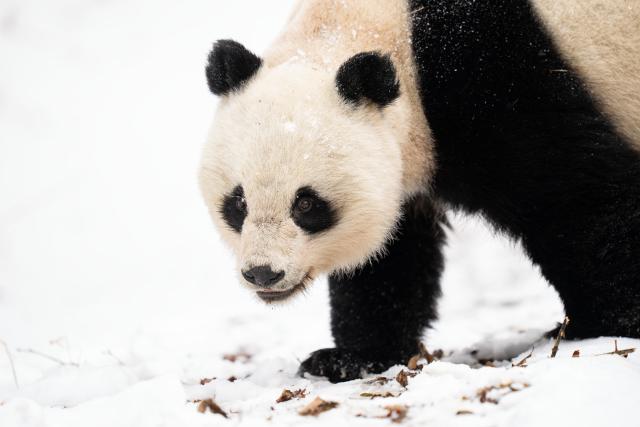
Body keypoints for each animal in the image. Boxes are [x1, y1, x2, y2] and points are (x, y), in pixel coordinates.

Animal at [199, 0, 640, 382]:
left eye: (306, 204)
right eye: (238, 203)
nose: (263, 273)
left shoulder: (489, 76)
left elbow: (572, 194)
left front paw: (604, 325)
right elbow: (391, 258)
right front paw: (351, 358)